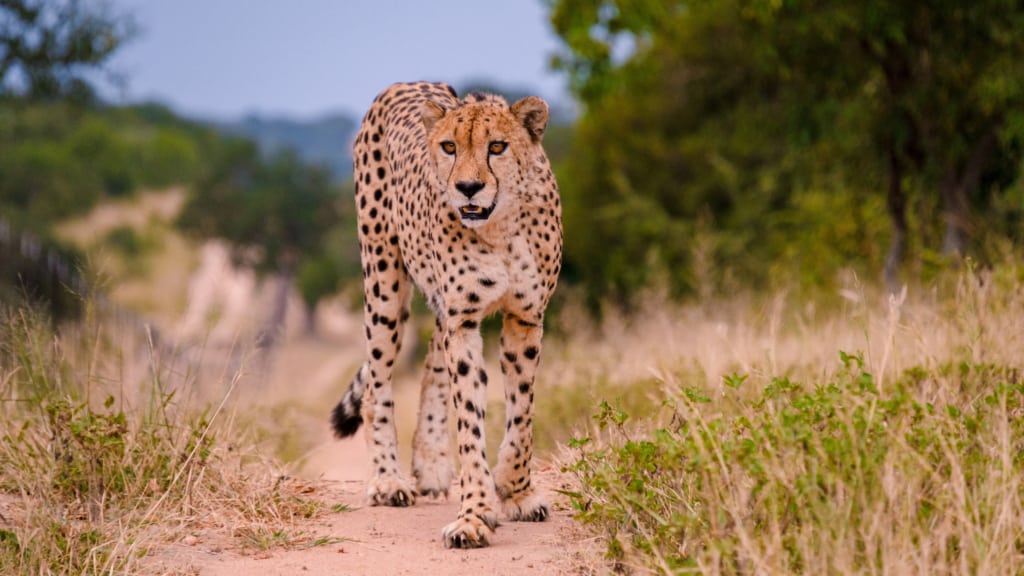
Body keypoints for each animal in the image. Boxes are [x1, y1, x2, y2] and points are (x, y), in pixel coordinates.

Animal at [331, 81, 565, 545]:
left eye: (498, 146)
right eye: (449, 147)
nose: (468, 187)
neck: (501, 227)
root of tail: (403, 84)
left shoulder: (525, 319)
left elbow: (522, 414)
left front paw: (515, 491)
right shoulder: (465, 320)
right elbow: (471, 422)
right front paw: (474, 514)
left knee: (433, 362)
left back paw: (432, 463)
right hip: (383, 282)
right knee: (378, 382)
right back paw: (387, 479)